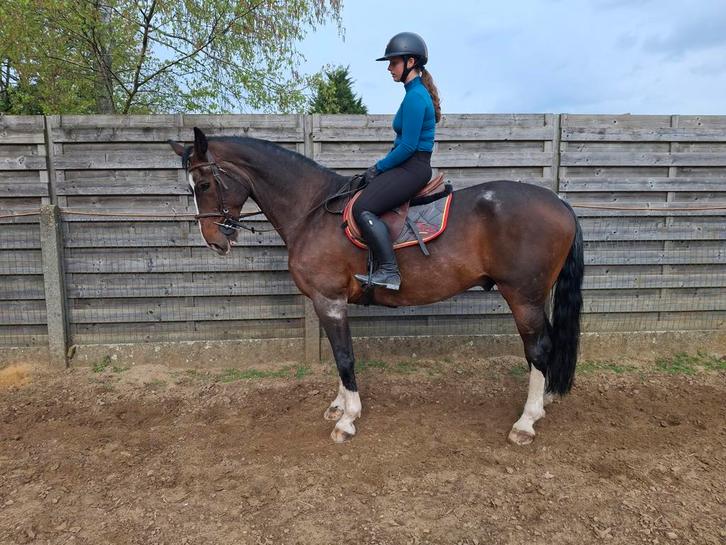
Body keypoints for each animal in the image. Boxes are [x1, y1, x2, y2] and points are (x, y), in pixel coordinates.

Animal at [168, 127, 584, 445]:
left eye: (204, 183)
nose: (213, 242)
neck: (313, 210)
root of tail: (560, 204)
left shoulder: (329, 300)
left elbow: (345, 357)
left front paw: (348, 419)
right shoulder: (329, 303)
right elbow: (338, 356)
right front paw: (338, 406)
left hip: (523, 297)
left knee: (538, 348)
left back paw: (526, 422)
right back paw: (542, 404)